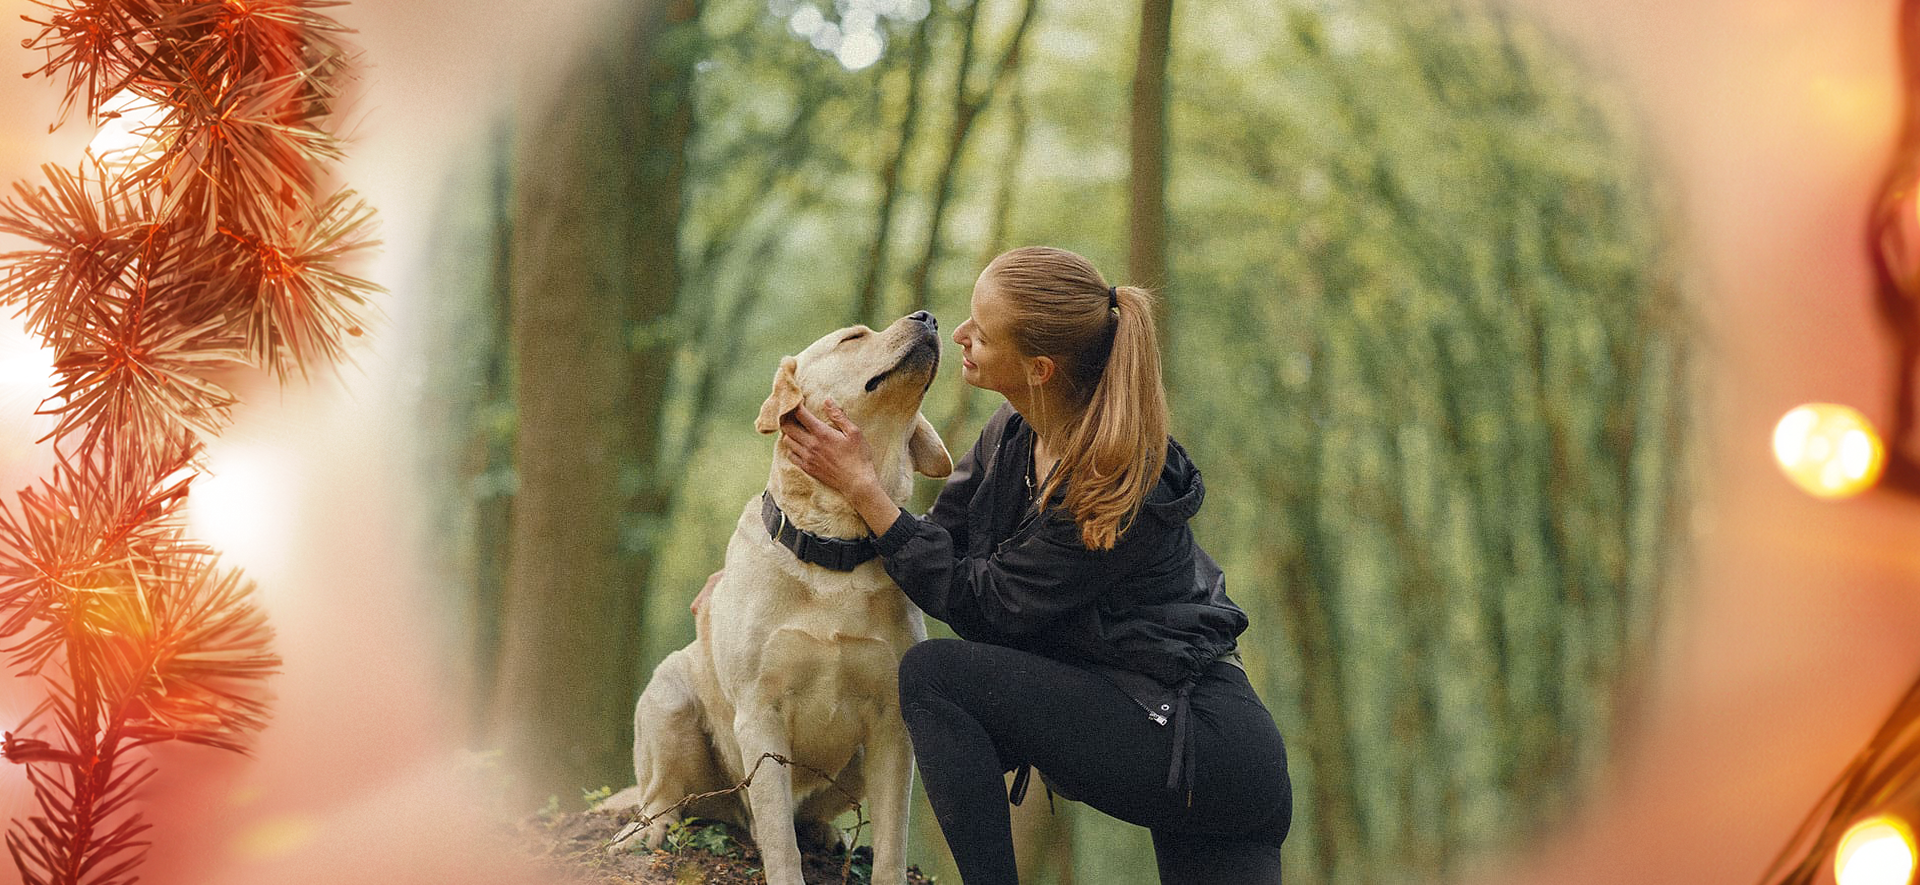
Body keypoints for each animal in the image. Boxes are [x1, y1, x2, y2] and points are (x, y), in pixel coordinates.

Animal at [599, 310, 952, 883]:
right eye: (853, 337)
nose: (928, 317)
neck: (834, 546)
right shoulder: (760, 714)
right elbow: (779, 839)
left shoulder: (891, 721)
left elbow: (893, 840)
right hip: (670, 698)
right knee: (666, 795)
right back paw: (646, 829)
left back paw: (826, 835)